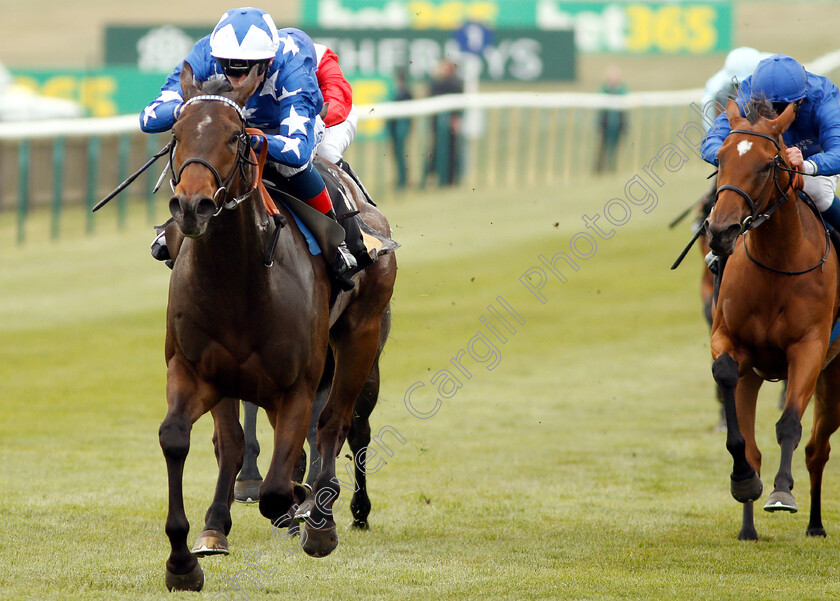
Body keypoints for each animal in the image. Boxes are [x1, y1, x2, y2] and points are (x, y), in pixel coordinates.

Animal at [159, 63, 398, 588]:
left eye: (236, 136)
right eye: (176, 134)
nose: (192, 206)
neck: (238, 281)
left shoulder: (296, 384)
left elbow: (279, 486)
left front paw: (307, 510)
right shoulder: (198, 370)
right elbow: (186, 439)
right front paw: (187, 557)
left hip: (362, 339)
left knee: (342, 424)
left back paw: (336, 513)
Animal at [704, 97, 840, 540]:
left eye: (768, 164)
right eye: (722, 157)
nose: (721, 230)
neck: (777, 263)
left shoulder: (809, 350)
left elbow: (789, 425)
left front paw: (782, 492)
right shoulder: (729, 341)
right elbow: (740, 429)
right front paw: (744, 481)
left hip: (833, 379)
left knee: (817, 450)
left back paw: (815, 524)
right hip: (756, 376)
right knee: (755, 445)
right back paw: (748, 526)